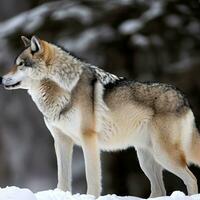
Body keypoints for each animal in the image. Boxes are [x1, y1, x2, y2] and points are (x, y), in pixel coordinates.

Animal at [0, 35, 199, 197]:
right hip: (146, 160)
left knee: (191, 179)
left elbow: (93, 177)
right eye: (16, 63)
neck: (64, 89)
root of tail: (184, 98)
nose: (1, 79)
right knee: (160, 190)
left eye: (21, 64)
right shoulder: (61, 140)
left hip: (164, 155)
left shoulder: (89, 140)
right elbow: (63, 177)